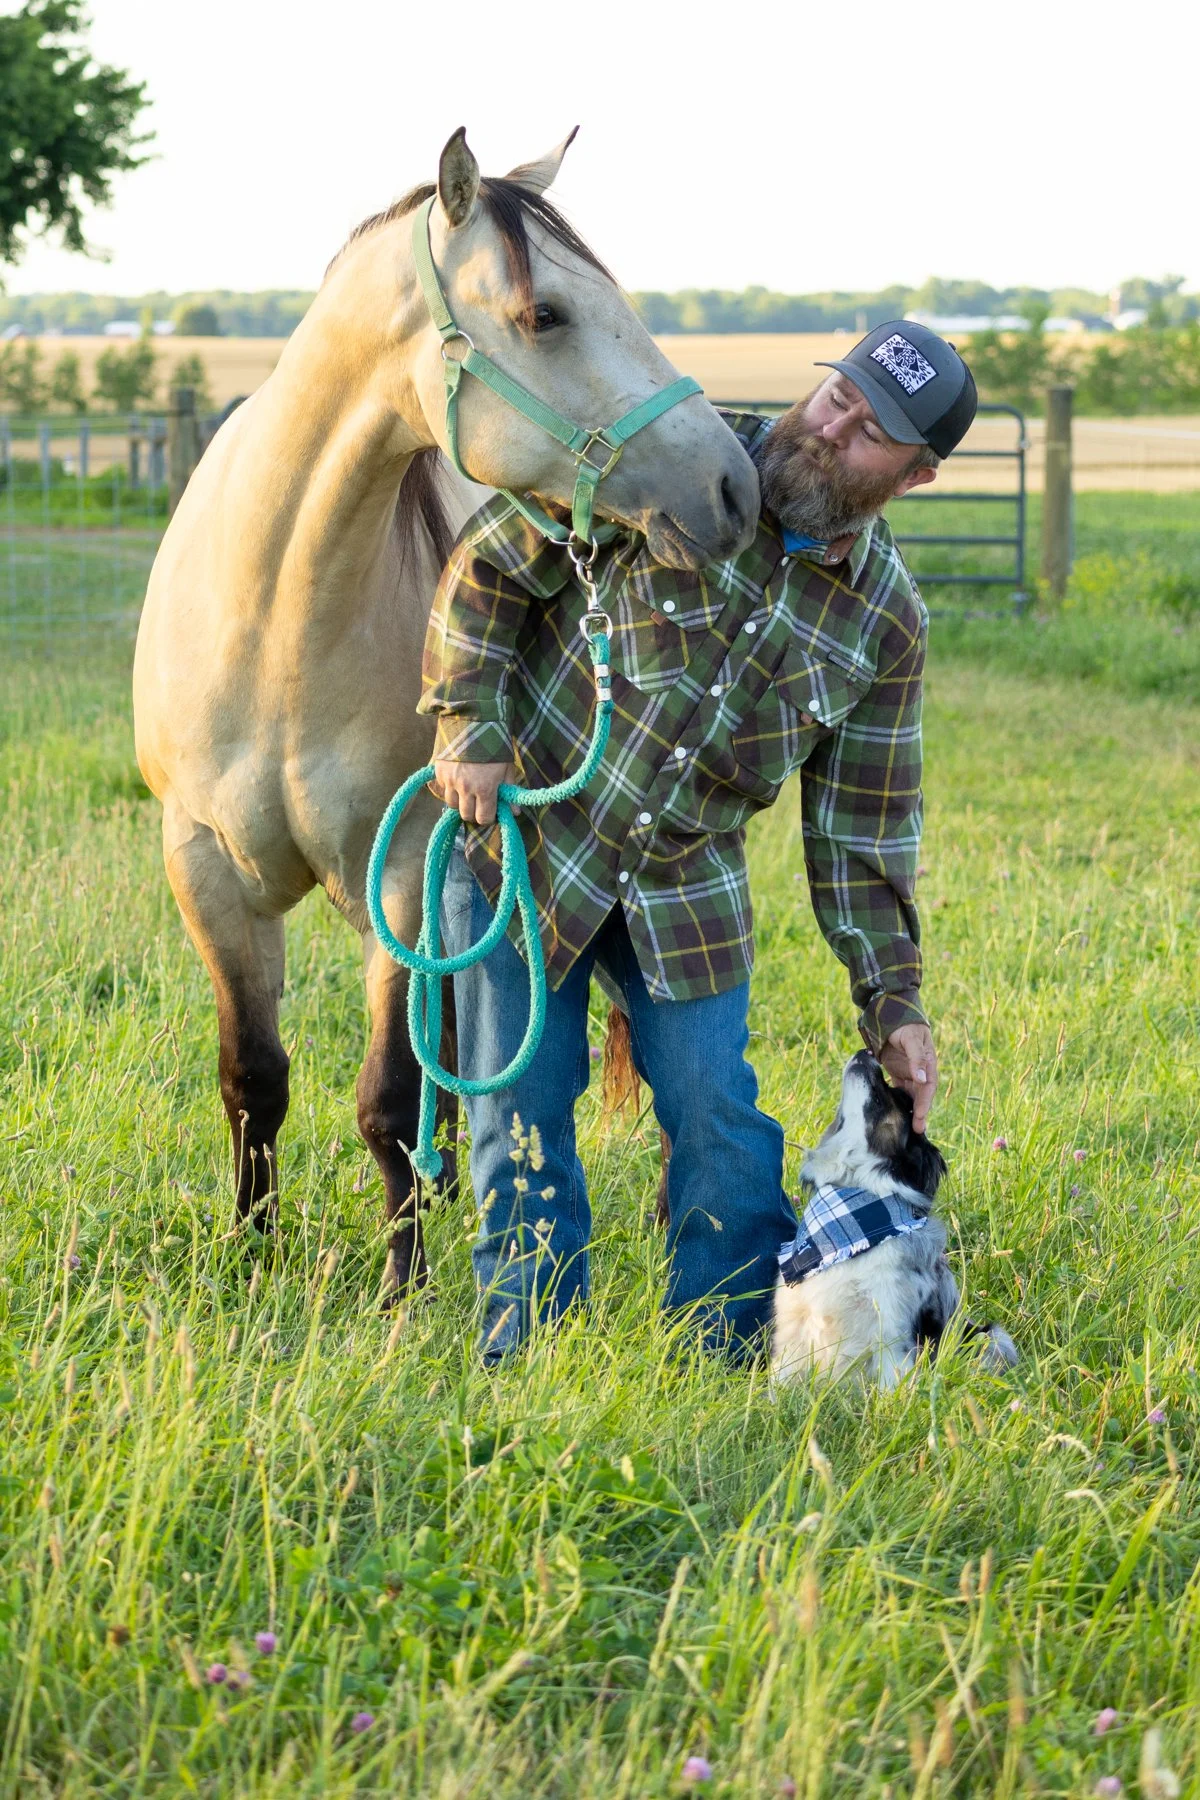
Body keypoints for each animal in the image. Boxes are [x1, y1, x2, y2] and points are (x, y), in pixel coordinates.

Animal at [132, 128, 758, 1298]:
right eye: (546, 313)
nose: (734, 486)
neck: (275, 622)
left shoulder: (403, 864)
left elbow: (388, 1094)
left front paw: (402, 1286)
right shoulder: (204, 867)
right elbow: (253, 1076)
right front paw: (251, 1256)